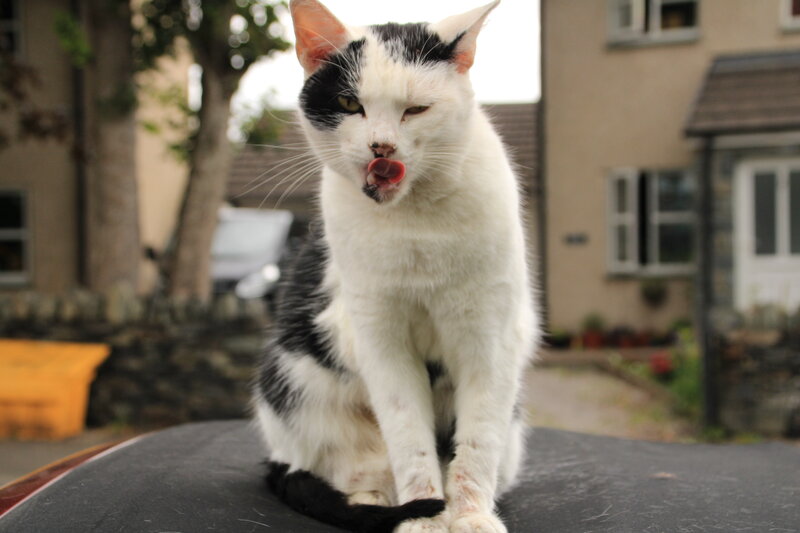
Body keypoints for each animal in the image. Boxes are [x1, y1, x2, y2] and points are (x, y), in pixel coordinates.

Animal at [252, 1, 539, 532]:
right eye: (349, 104)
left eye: (416, 109)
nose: (381, 148)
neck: (416, 222)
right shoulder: (380, 339)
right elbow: (409, 439)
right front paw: (424, 516)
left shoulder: (490, 336)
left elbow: (477, 443)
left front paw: (470, 516)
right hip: (295, 388)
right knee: (358, 470)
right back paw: (377, 502)